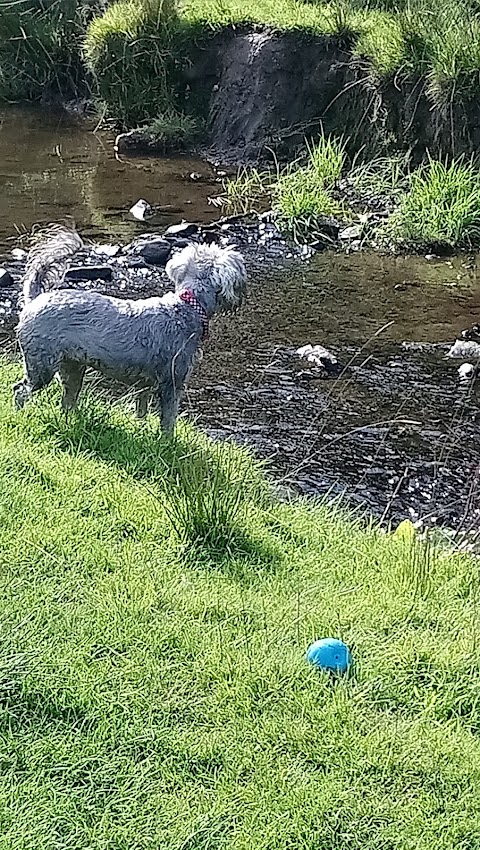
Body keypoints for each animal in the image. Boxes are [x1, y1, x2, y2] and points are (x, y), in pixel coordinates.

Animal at [14, 225, 248, 434]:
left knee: (66, 401)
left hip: (72, 367)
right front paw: (167, 444)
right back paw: (22, 416)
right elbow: (169, 420)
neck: (186, 307)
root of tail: (35, 299)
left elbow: (141, 410)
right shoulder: (172, 382)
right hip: (42, 365)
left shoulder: (144, 385)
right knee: (20, 390)